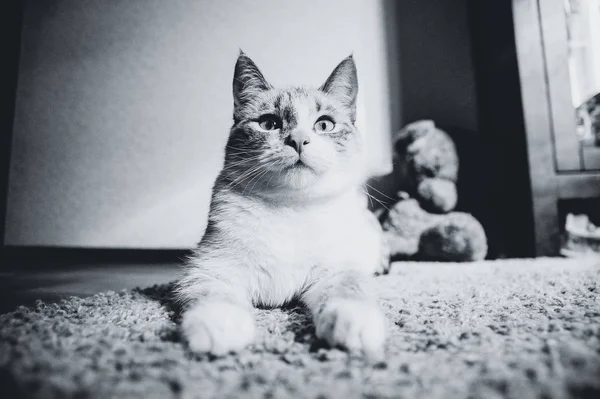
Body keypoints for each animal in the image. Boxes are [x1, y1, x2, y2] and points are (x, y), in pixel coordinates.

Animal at [173, 51, 390, 360]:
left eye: (324, 124)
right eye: (269, 124)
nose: (298, 140)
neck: (291, 208)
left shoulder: (337, 270)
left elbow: (351, 290)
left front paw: (355, 326)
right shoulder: (211, 269)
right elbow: (213, 295)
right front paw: (219, 327)